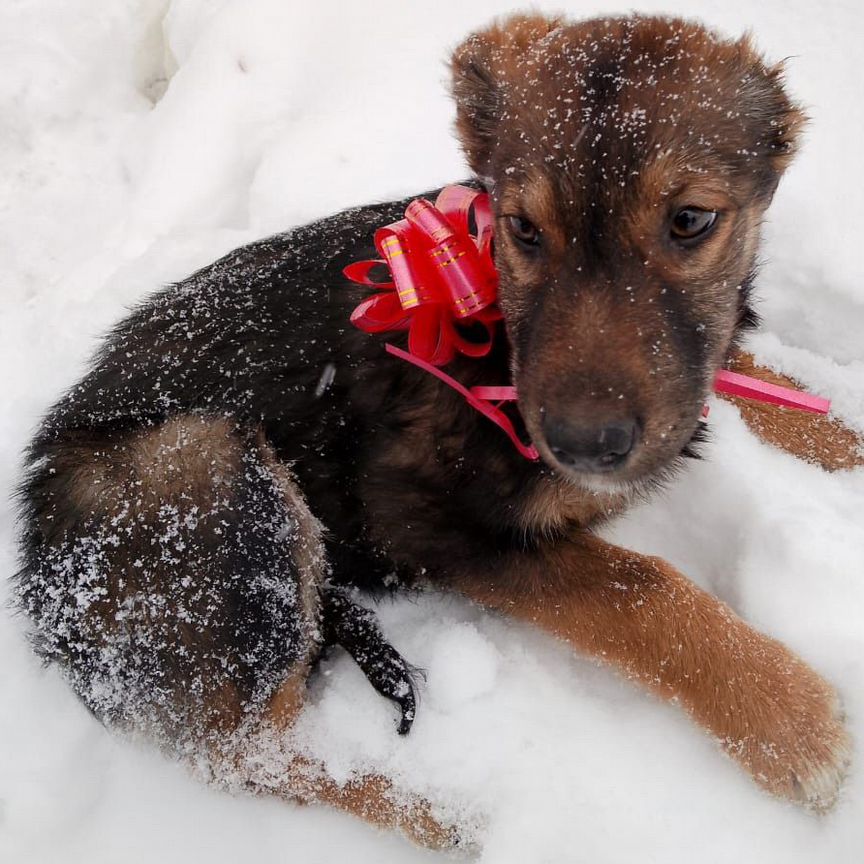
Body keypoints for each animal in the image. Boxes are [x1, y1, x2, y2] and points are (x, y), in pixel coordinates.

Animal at [15, 13, 864, 852]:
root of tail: (35, 586)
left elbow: (781, 389)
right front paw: (790, 718)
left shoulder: (698, 373)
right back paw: (450, 813)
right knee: (247, 753)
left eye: (691, 219)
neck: (490, 316)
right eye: (522, 228)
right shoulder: (425, 516)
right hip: (207, 474)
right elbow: (640, 588)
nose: (583, 447)